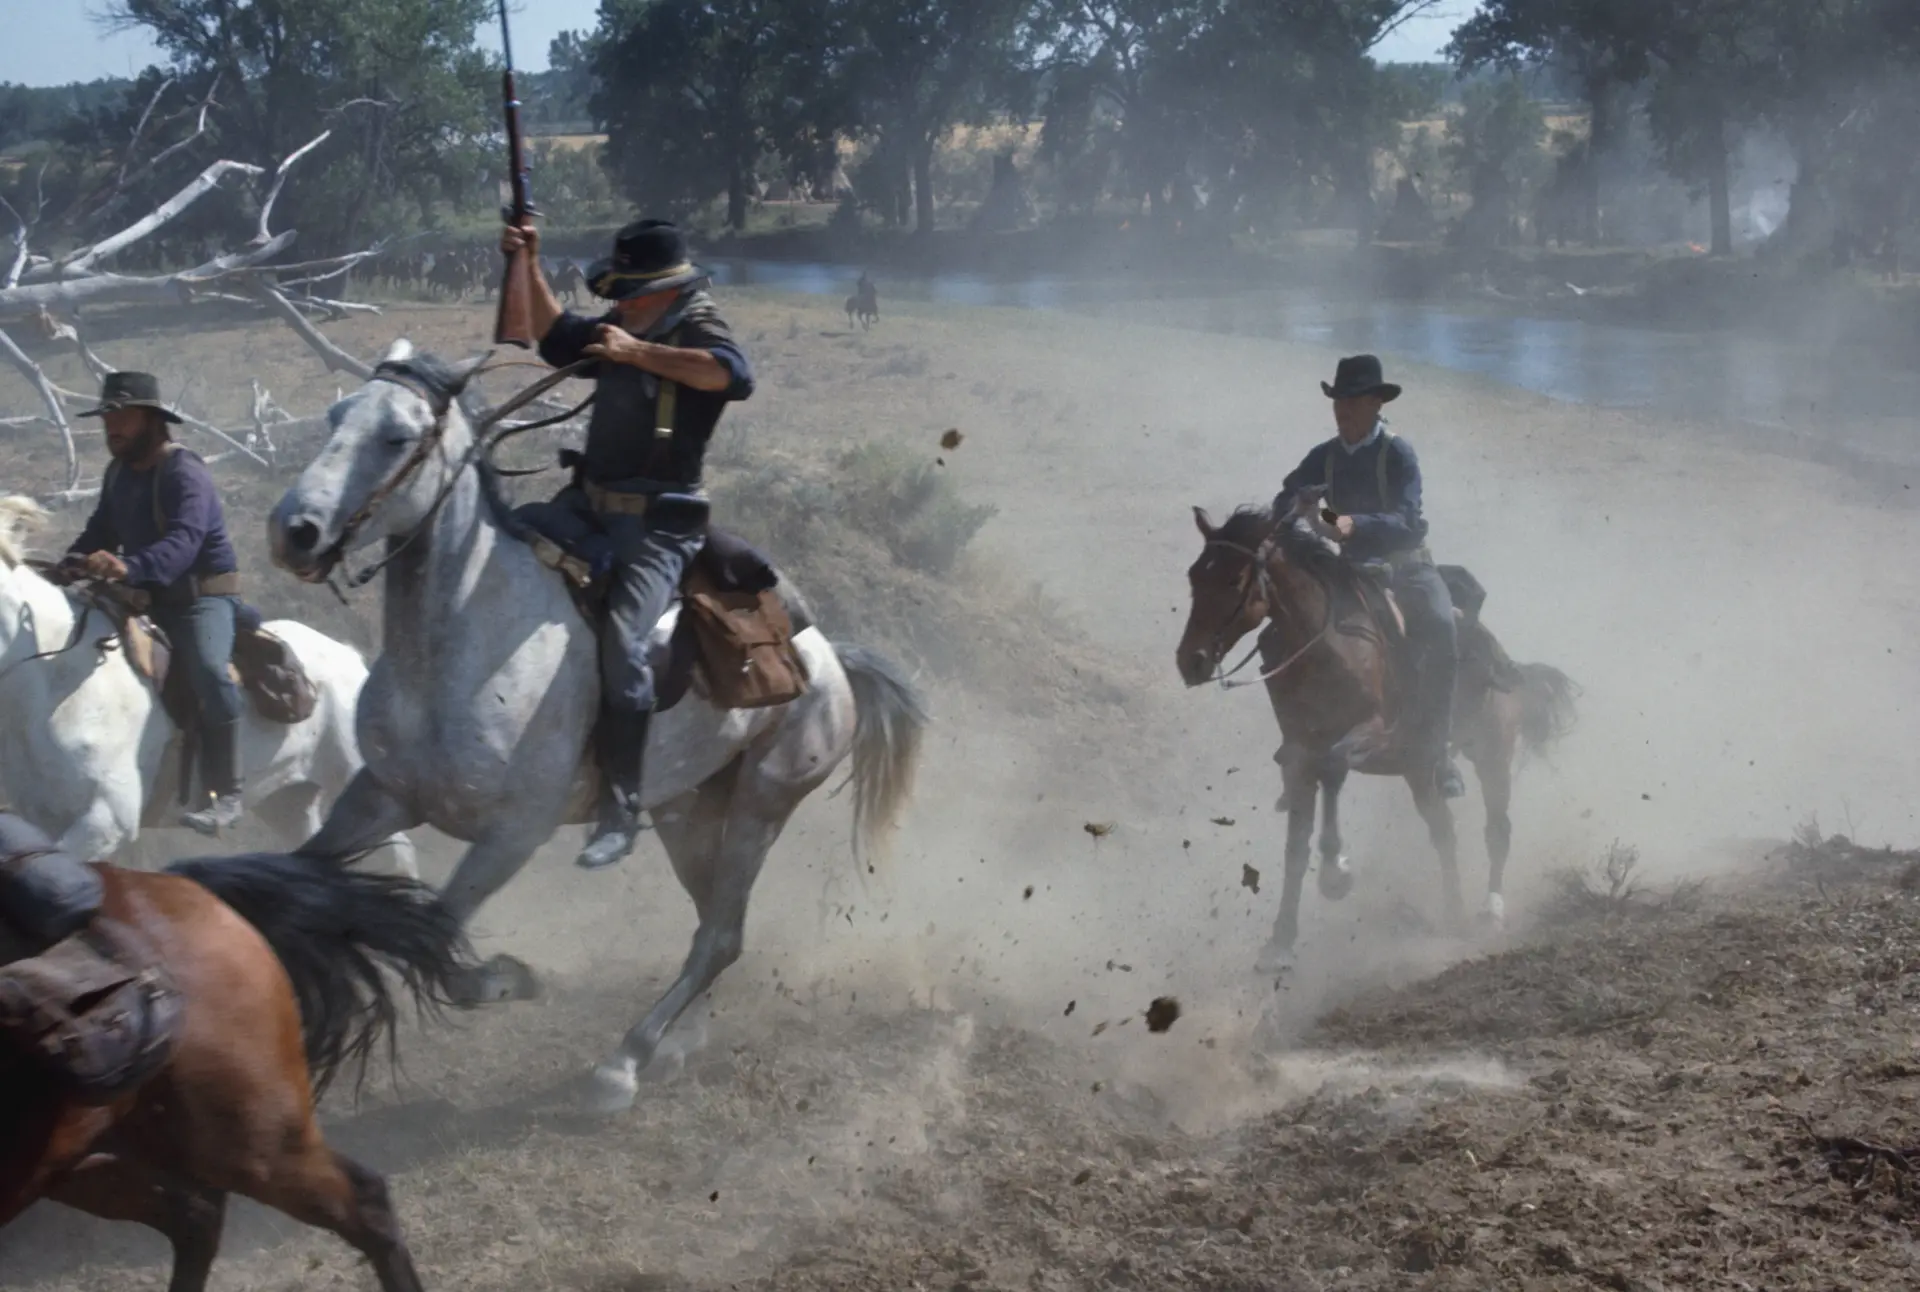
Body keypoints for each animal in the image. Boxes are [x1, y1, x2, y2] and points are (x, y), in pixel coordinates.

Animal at [266, 341, 925, 1105]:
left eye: (398, 436)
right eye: (336, 416)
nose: (294, 532)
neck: (465, 638)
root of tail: (829, 658)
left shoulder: (514, 833)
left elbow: (442, 940)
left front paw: (510, 978)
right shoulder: (382, 794)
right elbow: (298, 881)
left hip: (764, 802)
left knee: (720, 935)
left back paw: (624, 1064)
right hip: (686, 811)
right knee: (717, 921)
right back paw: (678, 1044)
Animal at [1175, 495, 1582, 967]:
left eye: (1234, 577)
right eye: (1194, 576)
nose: (1191, 661)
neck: (1327, 645)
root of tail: (1505, 659)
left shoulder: (1369, 734)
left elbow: (1334, 768)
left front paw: (1335, 872)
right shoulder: (1298, 755)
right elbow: (1295, 848)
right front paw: (1281, 942)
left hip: (1491, 750)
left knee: (1497, 830)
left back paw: (1489, 910)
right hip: (1418, 769)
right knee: (1444, 832)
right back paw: (1454, 913)